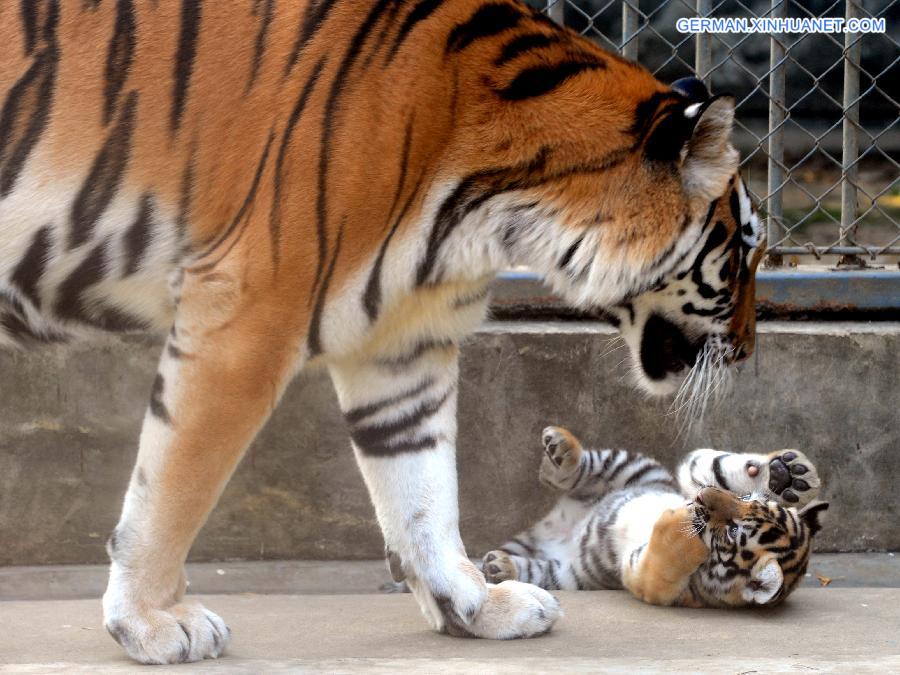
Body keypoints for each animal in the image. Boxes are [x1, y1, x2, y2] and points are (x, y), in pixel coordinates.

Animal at [0, 0, 764, 664]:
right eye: (745, 251)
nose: (747, 351)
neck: (493, 208)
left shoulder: (402, 345)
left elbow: (423, 491)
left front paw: (475, 607)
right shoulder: (245, 321)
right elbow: (173, 490)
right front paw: (152, 620)